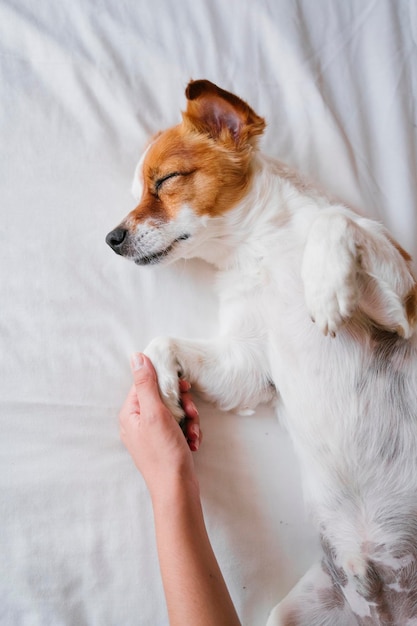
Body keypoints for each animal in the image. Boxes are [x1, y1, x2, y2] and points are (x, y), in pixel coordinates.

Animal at [105, 79, 416, 624]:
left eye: (165, 180)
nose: (112, 238)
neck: (259, 252)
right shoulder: (249, 365)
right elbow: (163, 342)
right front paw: (166, 400)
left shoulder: (402, 311)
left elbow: (336, 219)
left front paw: (324, 286)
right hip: (293, 613)